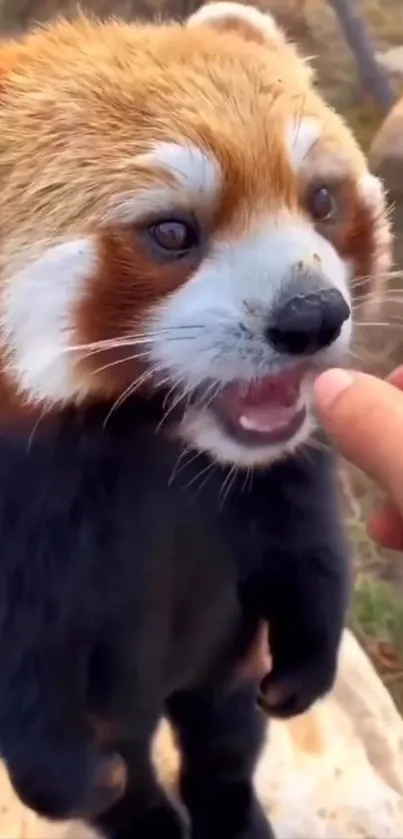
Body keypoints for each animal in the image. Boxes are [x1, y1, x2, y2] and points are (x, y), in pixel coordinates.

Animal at [0, 1, 394, 839]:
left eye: (321, 200)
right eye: (173, 233)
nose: (312, 317)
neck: (161, 442)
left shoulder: (283, 470)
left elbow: (310, 545)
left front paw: (307, 662)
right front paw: (66, 779)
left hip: (225, 651)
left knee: (224, 732)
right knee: (134, 766)